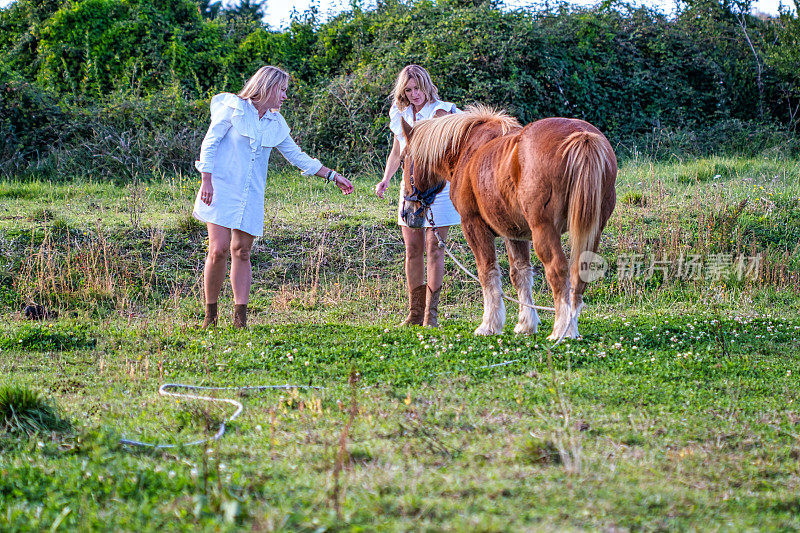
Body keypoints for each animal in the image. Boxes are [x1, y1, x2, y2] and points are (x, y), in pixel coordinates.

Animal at [400, 104, 620, 338]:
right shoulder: (515, 233)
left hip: (545, 231)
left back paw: (562, 330)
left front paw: (489, 324)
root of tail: (581, 136)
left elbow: (487, 272)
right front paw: (526, 323)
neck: (467, 150)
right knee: (579, 272)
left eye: (403, 159)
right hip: (591, 231)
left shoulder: (474, 226)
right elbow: (520, 274)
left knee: (557, 270)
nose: (407, 213)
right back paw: (571, 325)